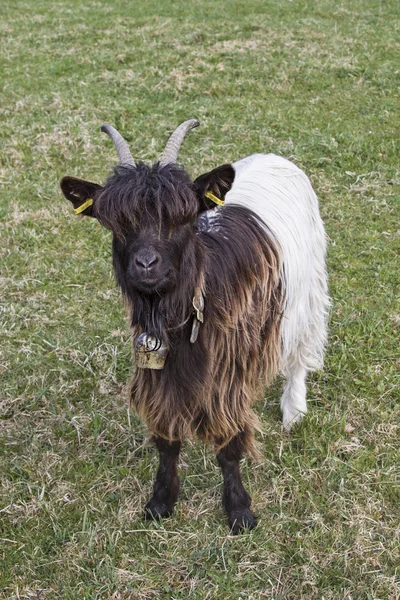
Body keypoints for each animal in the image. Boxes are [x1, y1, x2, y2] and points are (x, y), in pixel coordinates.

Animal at [59, 119, 328, 532]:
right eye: (116, 223)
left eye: (181, 219)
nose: (146, 265)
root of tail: (275, 157)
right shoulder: (156, 367)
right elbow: (167, 440)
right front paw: (160, 501)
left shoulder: (229, 371)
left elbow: (230, 443)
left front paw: (239, 510)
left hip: (307, 288)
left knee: (301, 351)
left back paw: (293, 410)